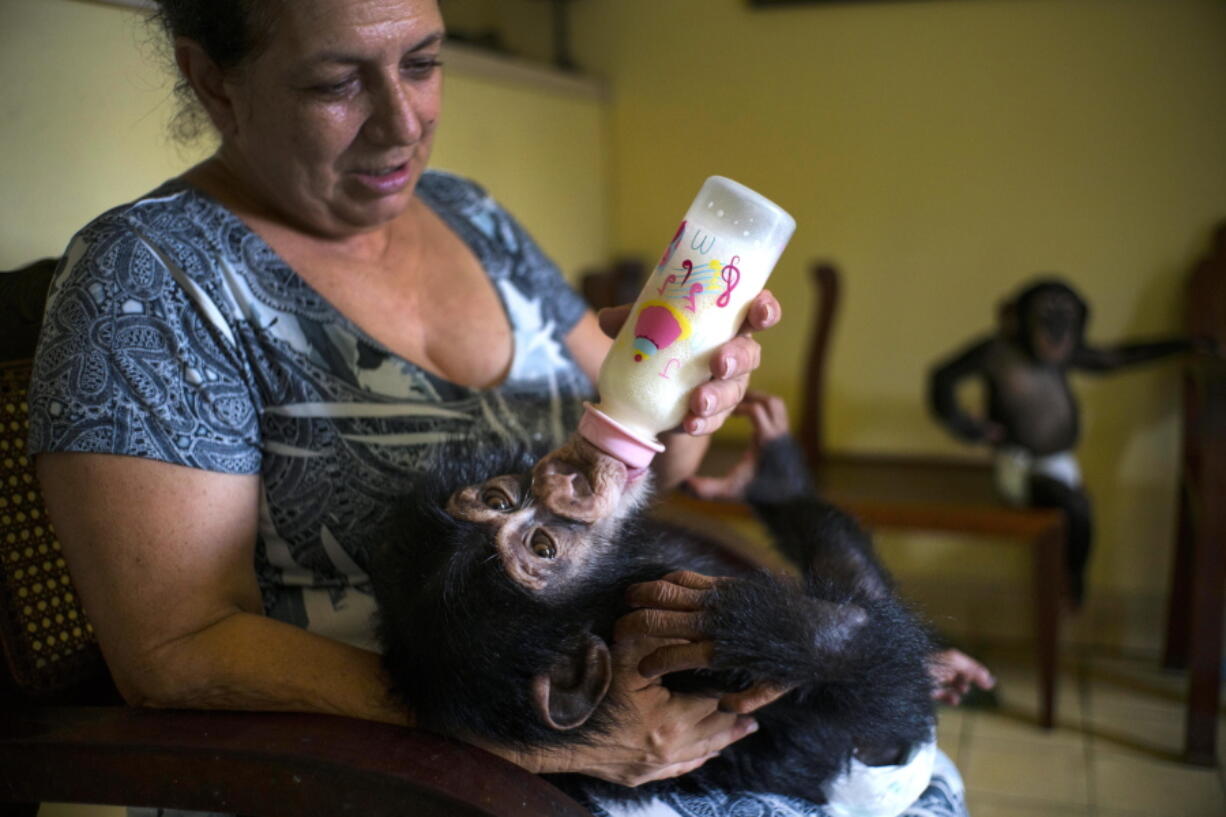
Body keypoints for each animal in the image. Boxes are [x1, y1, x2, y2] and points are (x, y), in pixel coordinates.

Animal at [370, 392, 936, 809]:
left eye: (497, 501)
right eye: (543, 548)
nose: (560, 486)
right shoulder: (697, 676)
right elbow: (885, 695)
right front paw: (761, 626)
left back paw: (773, 476)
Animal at [926, 277, 1206, 601]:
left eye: (1067, 315)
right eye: (1044, 313)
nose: (1057, 330)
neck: (1032, 354)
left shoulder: (1076, 353)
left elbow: (1112, 359)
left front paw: (1197, 343)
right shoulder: (990, 349)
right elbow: (947, 374)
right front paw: (970, 428)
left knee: (1085, 503)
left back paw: (1075, 577)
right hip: (1020, 487)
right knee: (1073, 503)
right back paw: (1073, 579)